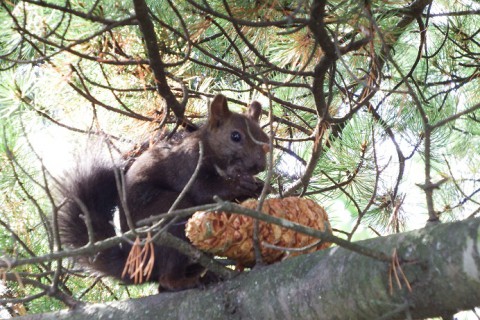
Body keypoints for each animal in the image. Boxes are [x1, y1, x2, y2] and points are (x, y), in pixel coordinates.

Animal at [56, 94, 270, 292]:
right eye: (235, 136)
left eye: (265, 138)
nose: (260, 165)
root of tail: (138, 264)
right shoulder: (187, 165)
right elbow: (204, 190)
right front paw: (240, 184)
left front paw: (259, 187)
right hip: (169, 219)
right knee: (167, 279)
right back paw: (187, 282)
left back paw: (207, 276)